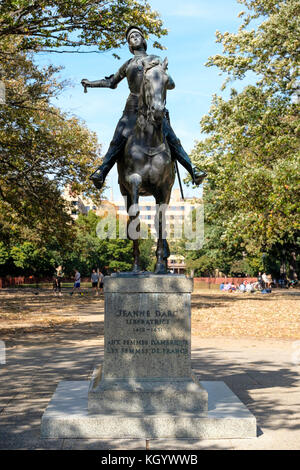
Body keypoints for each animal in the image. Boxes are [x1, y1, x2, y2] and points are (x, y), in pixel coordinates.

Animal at [116, 57, 175, 274]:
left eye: (167, 82)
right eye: (147, 80)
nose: (157, 111)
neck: (149, 140)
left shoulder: (164, 188)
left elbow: (160, 220)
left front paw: (159, 265)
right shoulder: (133, 181)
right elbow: (135, 218)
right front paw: (135, 266)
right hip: (124, 192)